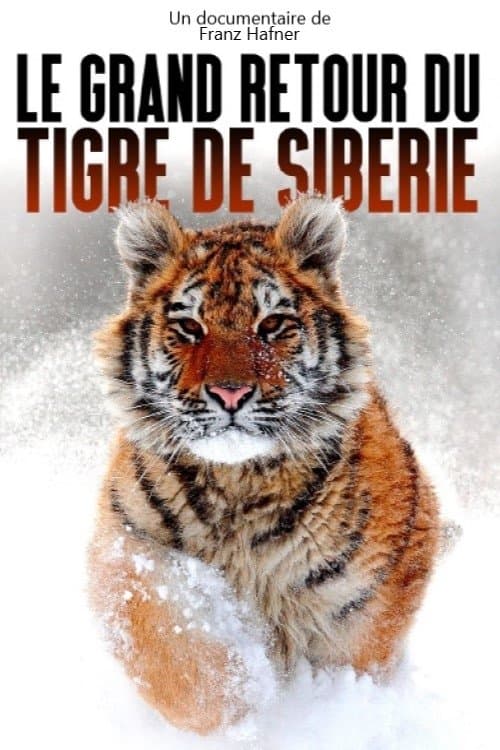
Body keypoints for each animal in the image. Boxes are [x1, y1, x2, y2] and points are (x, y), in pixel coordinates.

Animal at [88, 195, 440, 734]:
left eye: (272, 325)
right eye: (190, 327)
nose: (230, 393)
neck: (239, 484)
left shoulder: (371, 590)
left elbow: (351, 660)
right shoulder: (127, 545)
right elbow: (173, 652)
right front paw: (241, 702)